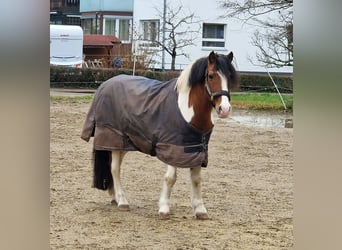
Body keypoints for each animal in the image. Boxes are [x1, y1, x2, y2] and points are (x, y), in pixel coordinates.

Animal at [82, 50, 238, 219]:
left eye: (230, 77)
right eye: (211, 75)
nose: (224, 109)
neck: (187, 111)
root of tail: (105, 84)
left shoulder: (197, 149)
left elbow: (196, 179)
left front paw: (200, 210)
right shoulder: (172, 148)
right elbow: (170, 178)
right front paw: (164, 208)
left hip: (123, 144)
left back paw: (114, 196)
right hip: (114, 138)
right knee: (115, 169)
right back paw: (122, 201)